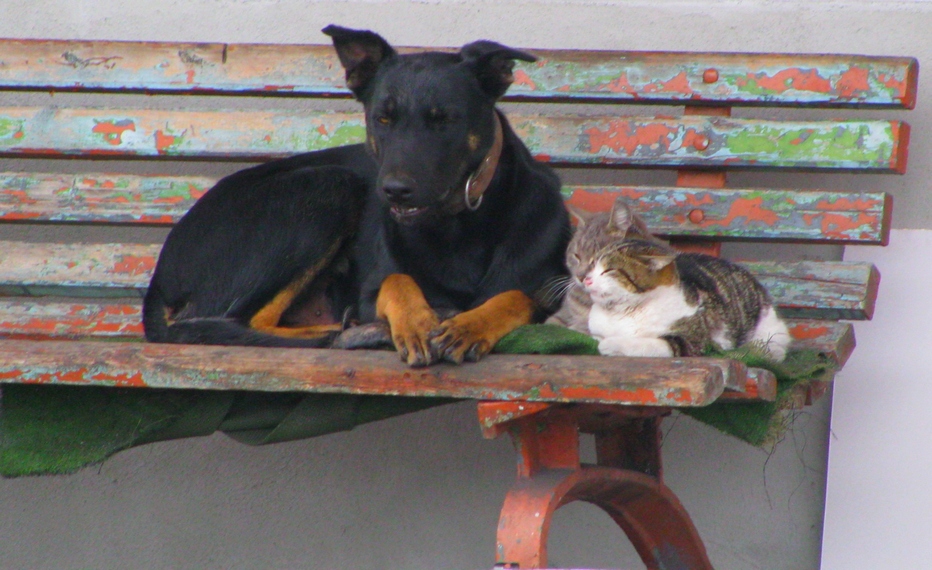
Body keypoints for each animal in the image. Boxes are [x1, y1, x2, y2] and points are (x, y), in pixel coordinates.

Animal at [142, 25, 570, 367]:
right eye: (382, 119)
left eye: (444, 120)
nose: (393, 190)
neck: (454, 226)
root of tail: (160, 277)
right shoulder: (371, 289)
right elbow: (396, 280)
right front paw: (415, 322)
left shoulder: (551, 290)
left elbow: (516, 296)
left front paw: (469, 326)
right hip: (327, 186)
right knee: (224, 322)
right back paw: (357, 332)